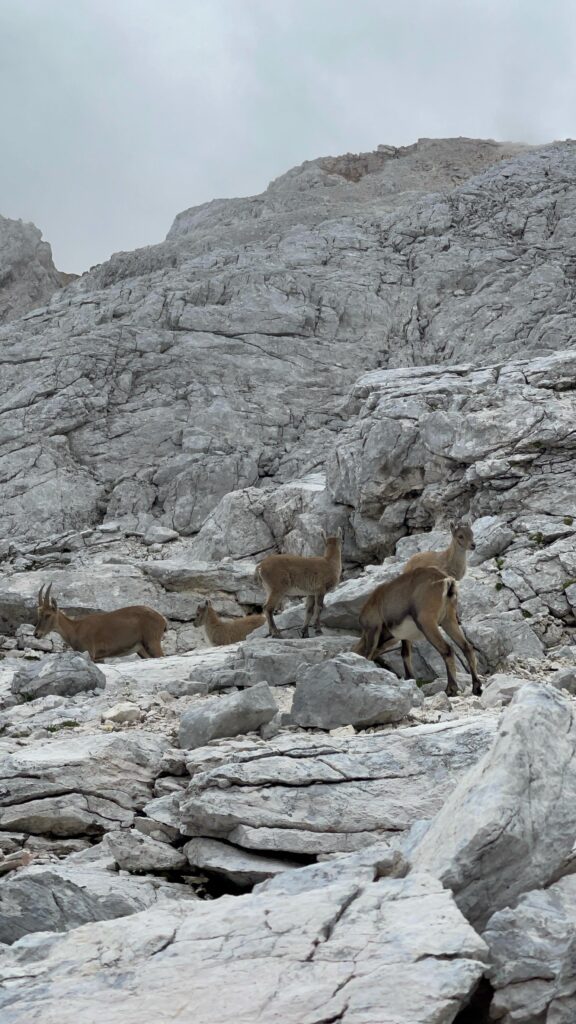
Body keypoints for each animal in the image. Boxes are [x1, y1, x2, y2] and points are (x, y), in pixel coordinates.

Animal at [34, 584, 167, 662]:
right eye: (38, 614)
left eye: (48, 615)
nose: (36, 634)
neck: (76, 629)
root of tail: (162, 620)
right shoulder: (99, 657)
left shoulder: (90, 653)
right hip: (142, 649)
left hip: (152, 641)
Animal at [354, 566, 482, 697]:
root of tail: (446, 580)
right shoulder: (405, 636)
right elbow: (405, 654)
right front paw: (410, 678)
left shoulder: (373, 628)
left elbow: (370, 654)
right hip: (448, 620)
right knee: (467, 647)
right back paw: (476, 687)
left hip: (427, 622)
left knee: (447, 649)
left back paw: (451, 689)